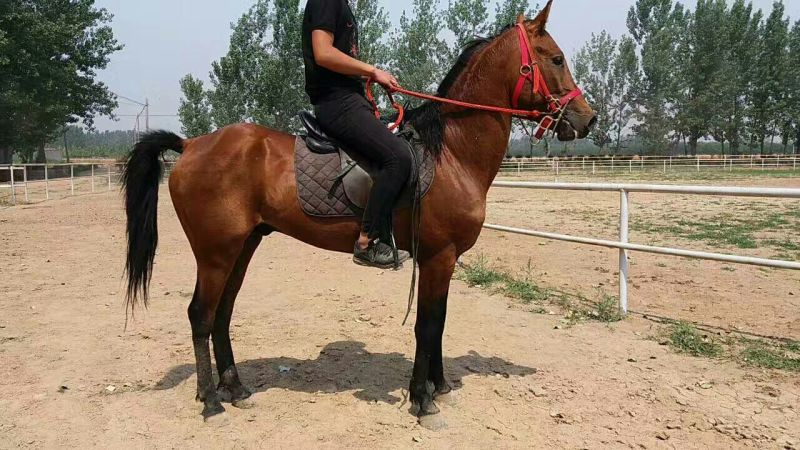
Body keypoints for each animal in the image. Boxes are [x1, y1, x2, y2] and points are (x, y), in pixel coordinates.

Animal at [121, 1, 596, 426]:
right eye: (556, 58)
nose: (587, 119)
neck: (451, 153)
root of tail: (189, 145)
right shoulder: (437, 257)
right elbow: (427, 326)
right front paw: (422, 400)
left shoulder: (444, 260)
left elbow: (440, 323)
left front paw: (438, 386)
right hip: (215, 252)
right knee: (200, 315)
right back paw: (210, 403)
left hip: (243, 246)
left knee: (222, 313)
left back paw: (234, 389)